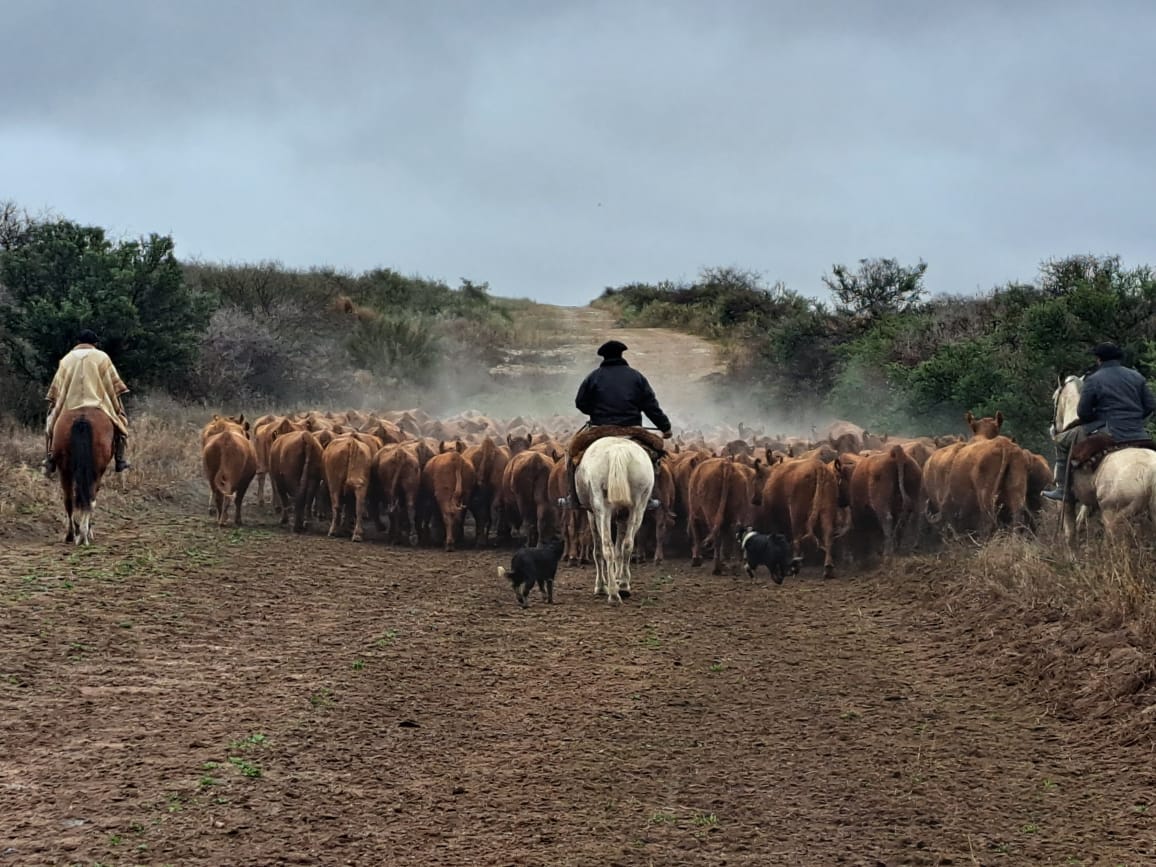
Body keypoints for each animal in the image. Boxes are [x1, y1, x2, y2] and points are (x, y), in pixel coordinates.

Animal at [52, 406, 115, 543]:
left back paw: (74, 534)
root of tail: (82, 419)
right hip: (95, 472)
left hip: (64, 470)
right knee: (89, 498)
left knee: (70, 500)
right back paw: (82, 535)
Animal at [573, 441, 656, 605]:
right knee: (627, 545)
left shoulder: (592, 513)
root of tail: (618, 450)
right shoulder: (622, 516)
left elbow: (598, 551)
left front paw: (601, 586)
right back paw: (622, 587)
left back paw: (612, 592)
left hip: (603, 509)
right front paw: (619, 580)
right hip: (637, 508)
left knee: (607, 548)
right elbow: (620, 549)